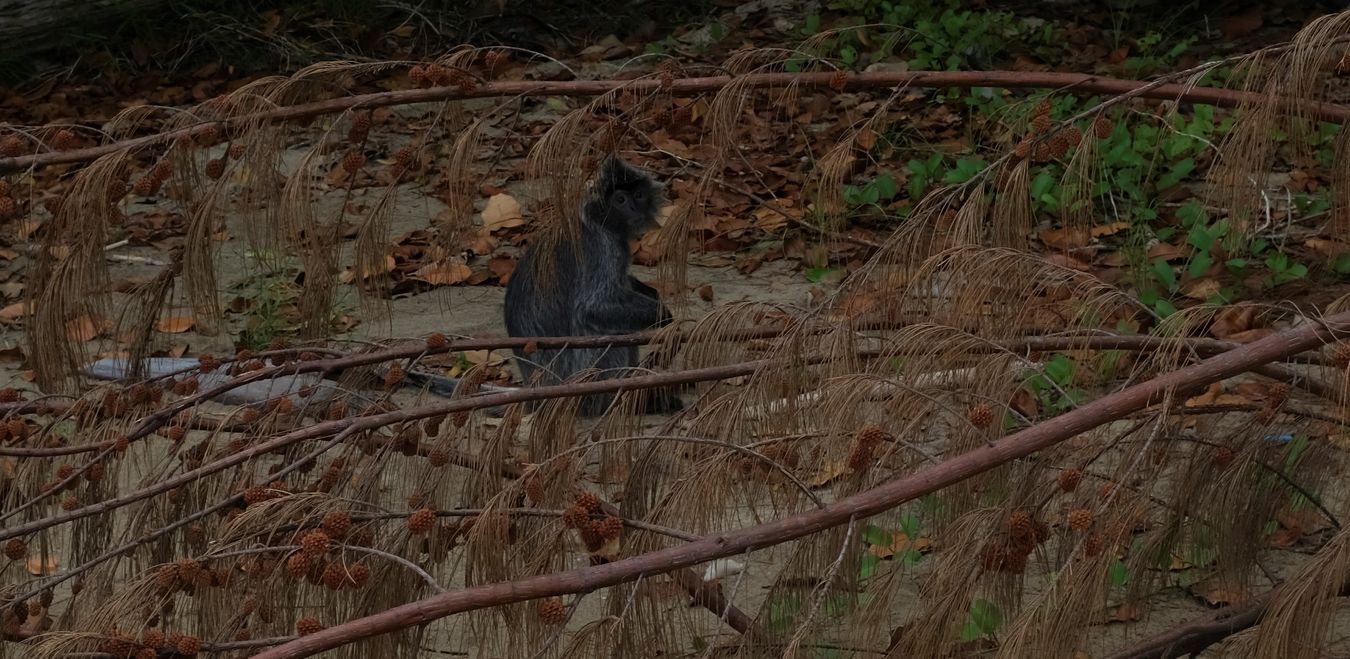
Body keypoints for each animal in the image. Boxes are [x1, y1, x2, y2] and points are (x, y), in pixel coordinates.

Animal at [502, 154, 680, 413]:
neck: (598, 222)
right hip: (580, 377)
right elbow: (592, 308)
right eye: (620, 199)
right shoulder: (603, 247)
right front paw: (664, 315)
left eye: (638, 195)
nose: (634, 209)